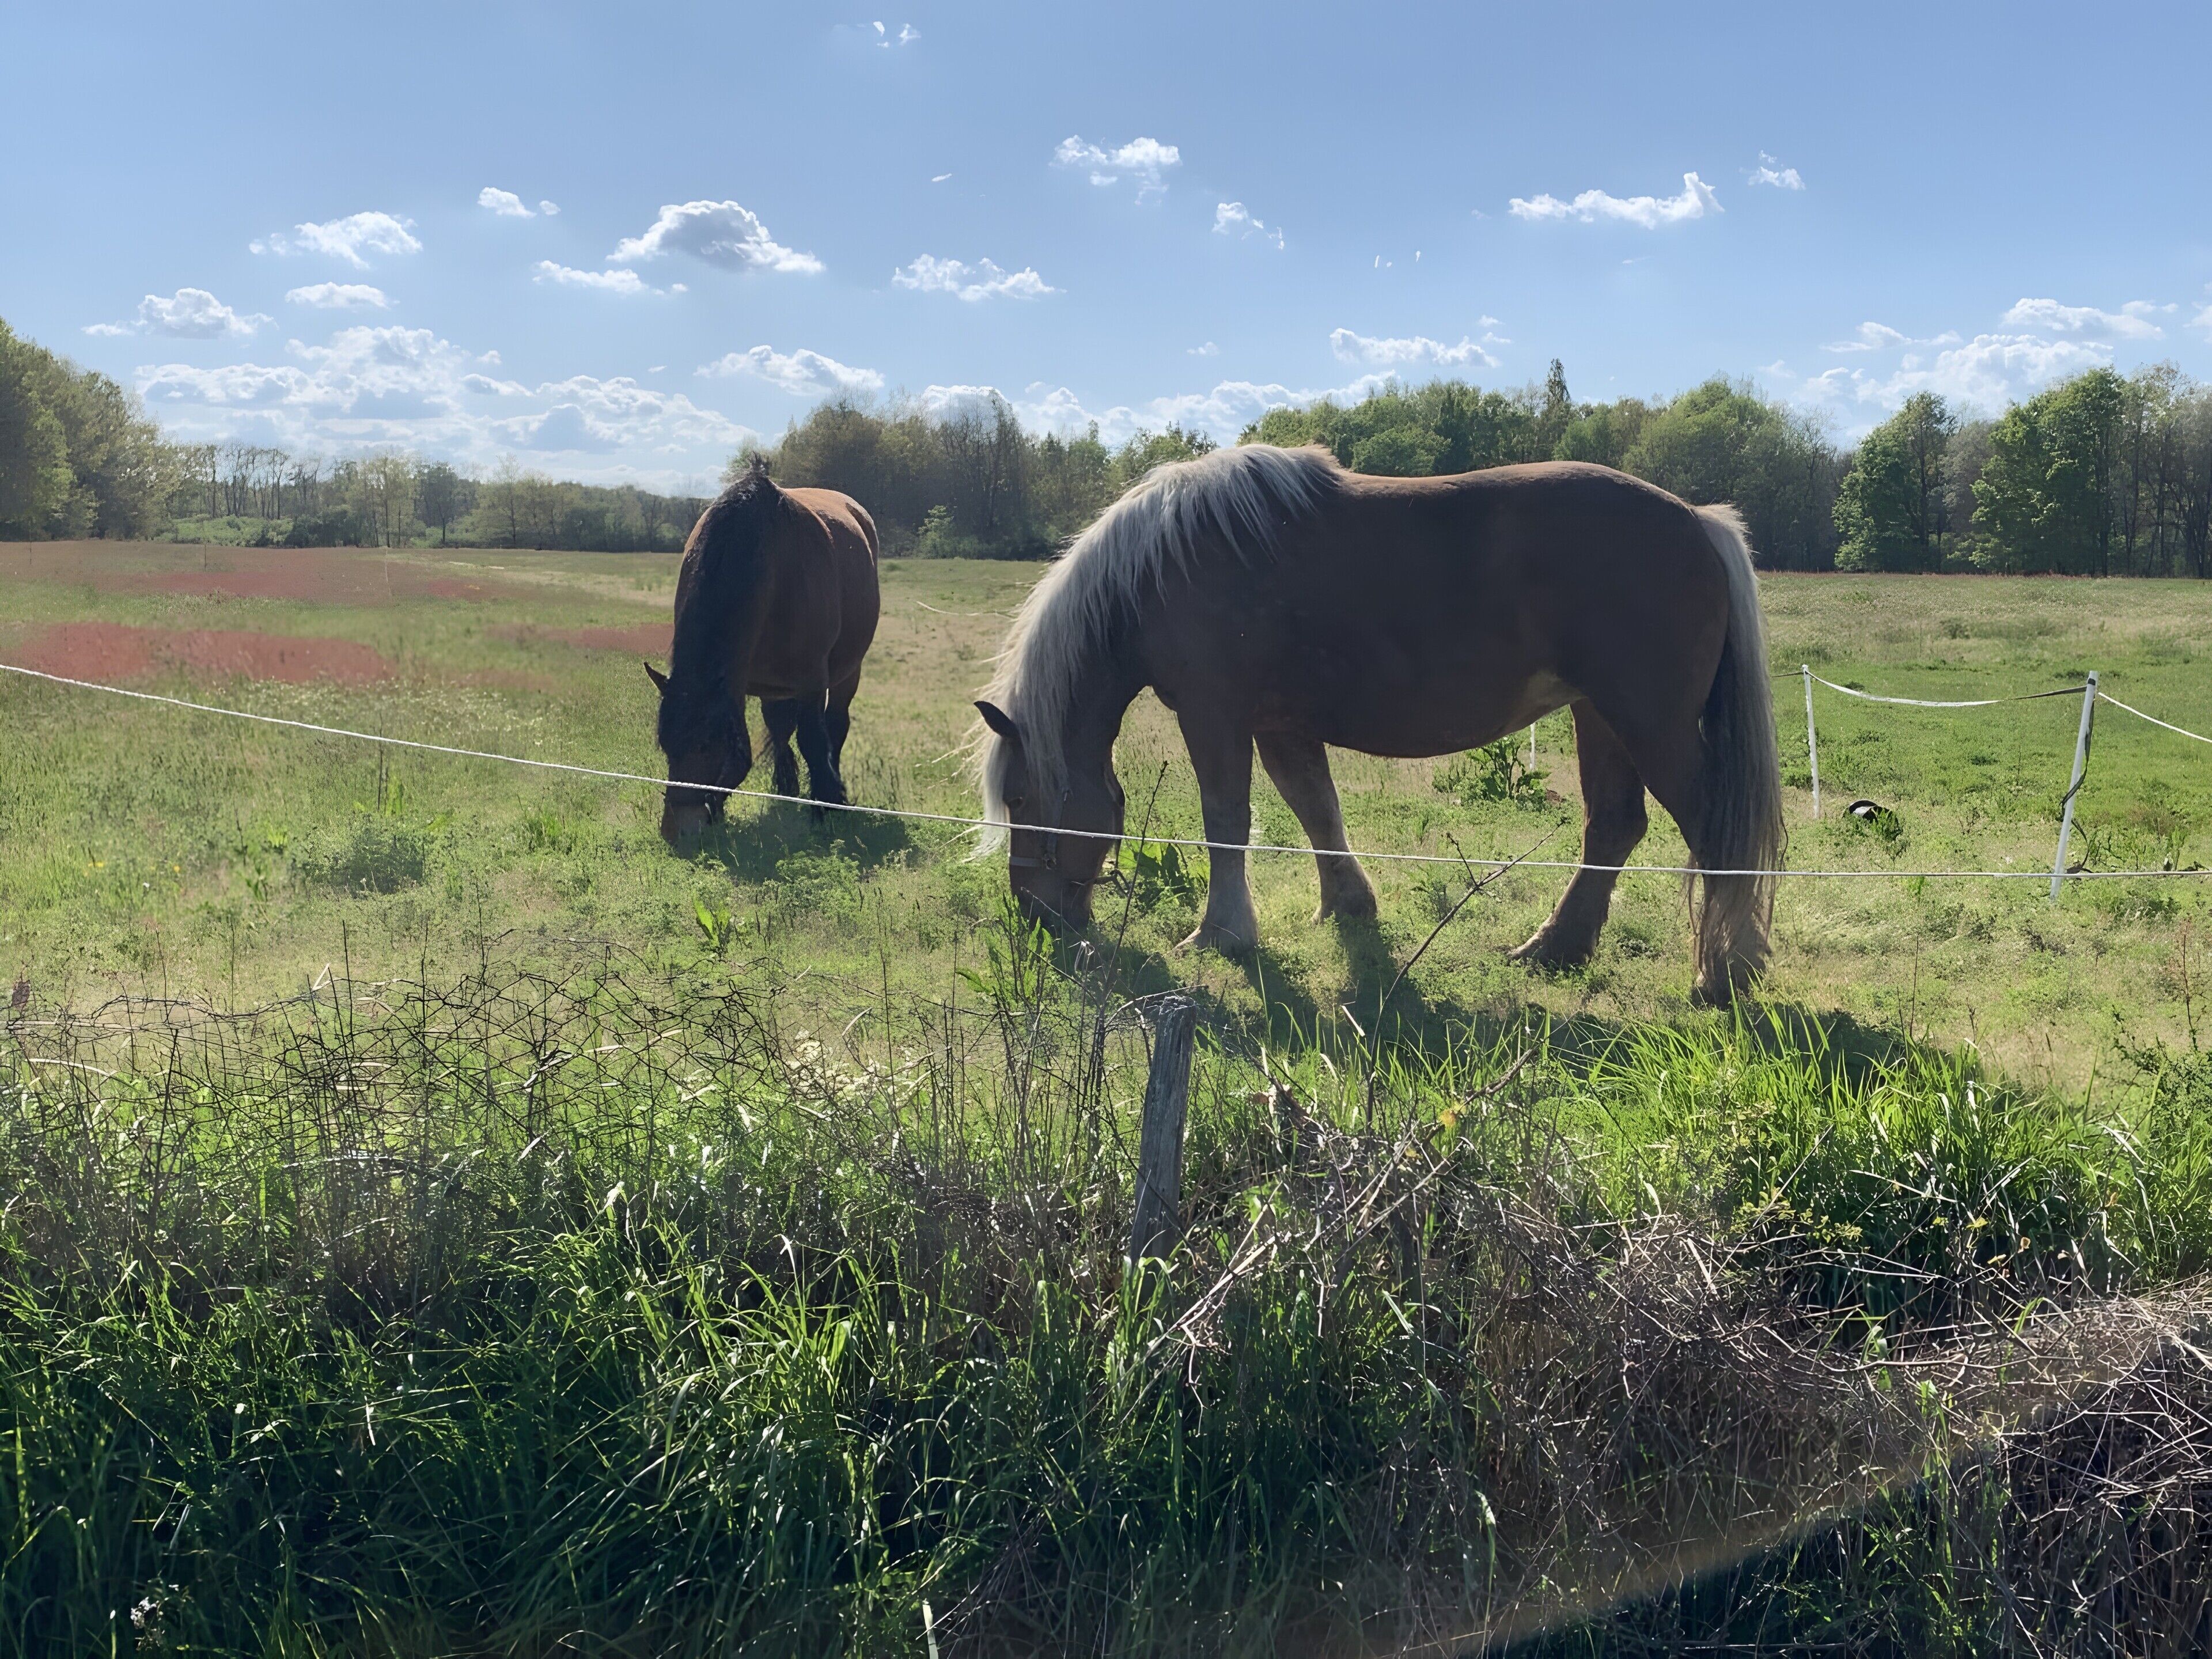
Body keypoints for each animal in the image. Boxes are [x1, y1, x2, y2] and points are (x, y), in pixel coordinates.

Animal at [648, 462, 880, 846]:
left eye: (707, 747)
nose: (675, 830)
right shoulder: (746, 684)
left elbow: (813, 740)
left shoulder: (812, 683)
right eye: (666, 746)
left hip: (849, 672)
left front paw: (824, 807)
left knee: (836, 724)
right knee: (781, 727)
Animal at [971, 444, 1784, 1002]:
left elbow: (1227, 820)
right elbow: (1315, 809)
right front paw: (1347, 907)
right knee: (1614, 827)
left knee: (1714, 831)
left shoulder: (1215, 716)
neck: (1160, 568)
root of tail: (1700, 522)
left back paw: (1728, 972)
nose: (1033, 915)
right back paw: (1557, 948)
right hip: (1601, 718)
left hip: (1651, 724)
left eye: (1020, 799)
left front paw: (1222, 932)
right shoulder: (1281, 725)